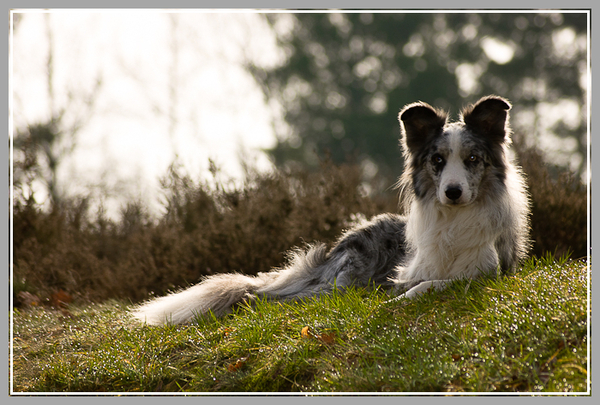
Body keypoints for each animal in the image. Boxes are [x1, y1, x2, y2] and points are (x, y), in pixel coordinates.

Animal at [131, 94, 528, 326]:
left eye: (473, 159)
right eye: (438, 160)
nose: (453, 192)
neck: (455, 221)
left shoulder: (489, 272)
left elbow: (440, 282)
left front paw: (406, 295)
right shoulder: (411, 268)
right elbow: (420, 282)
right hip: (346, 273)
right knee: (280, 296)